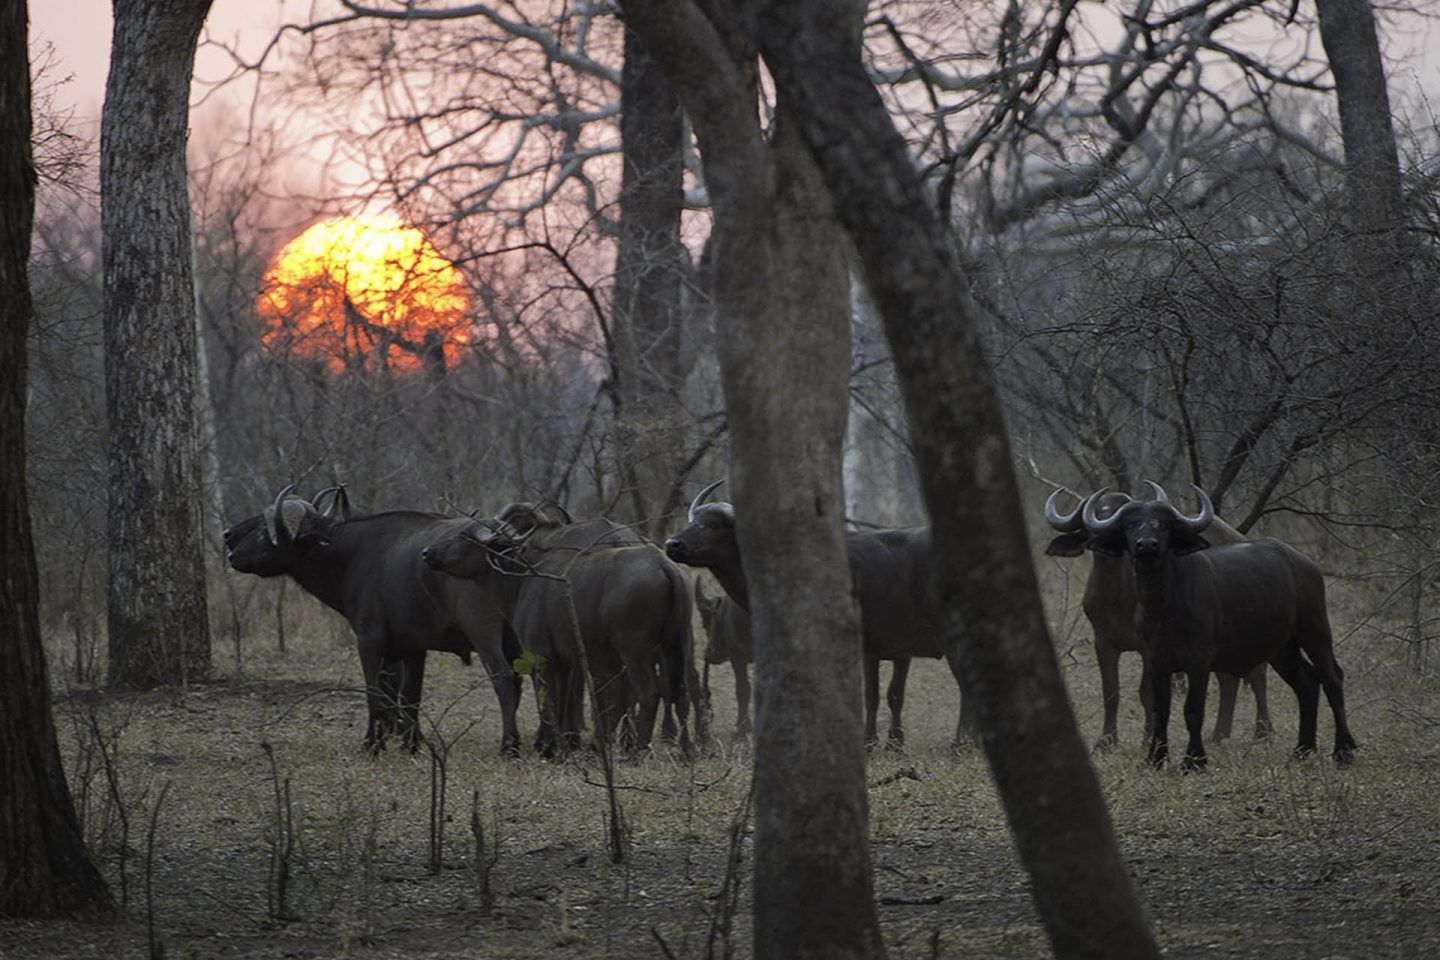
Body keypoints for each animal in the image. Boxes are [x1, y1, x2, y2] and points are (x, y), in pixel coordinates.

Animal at [221, 483, 521, 754]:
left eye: (264, 530)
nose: (231, 549)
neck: (350, 554)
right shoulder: (413, 648)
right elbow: (410, 696)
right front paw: (411, 744)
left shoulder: (369, 641)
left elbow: (374, 693)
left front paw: (372, 744)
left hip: (483, 633)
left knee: (504, 678)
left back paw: (509, 746)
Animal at [420, 503, 694, 759]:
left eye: (465, 537)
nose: (427, 552)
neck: (524, 575)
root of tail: (663, 564)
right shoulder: (566, 661)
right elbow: (561, 700)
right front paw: (562, 744)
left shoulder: (541, 655)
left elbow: (547, 698)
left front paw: (545, 746)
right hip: (672, 647)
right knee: (678, 692)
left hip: (634, 652)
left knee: (647, 693)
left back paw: (637, 752)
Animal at [662, 480, 967, 748]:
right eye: (693, 521)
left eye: (714, 525)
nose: (672, 544)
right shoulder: (886, 650)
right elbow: (881, 695)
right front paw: (882, 742)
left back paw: (961, 743)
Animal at [1048, 480, 1272, 748]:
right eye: (1099, 509)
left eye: (1120, 510)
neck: (1115, 596)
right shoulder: (1103, 643)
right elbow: (1110, 691)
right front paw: (1106, 740)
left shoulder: (1149, 648)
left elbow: (1147, 694)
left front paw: (1148, 739)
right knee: (1228, 679)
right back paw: (1219, 734)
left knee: (1257, 674)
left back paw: (1262, 732)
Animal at [1077, 483, 1353, 771]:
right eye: (1130, 525)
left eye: (1164, 525)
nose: (1147, 545)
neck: (1164, 605)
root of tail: (1305, 564)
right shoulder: (1155, 660)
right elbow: (1160, 709)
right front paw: (1155, 758)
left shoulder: (1199, 661)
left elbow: (1193, 709)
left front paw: (1194, 760)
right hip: (1282, 648)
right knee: (1307, 684)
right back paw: (1302, 749)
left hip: (1315, 630)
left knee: (1332, 678)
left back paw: (1343, 751)